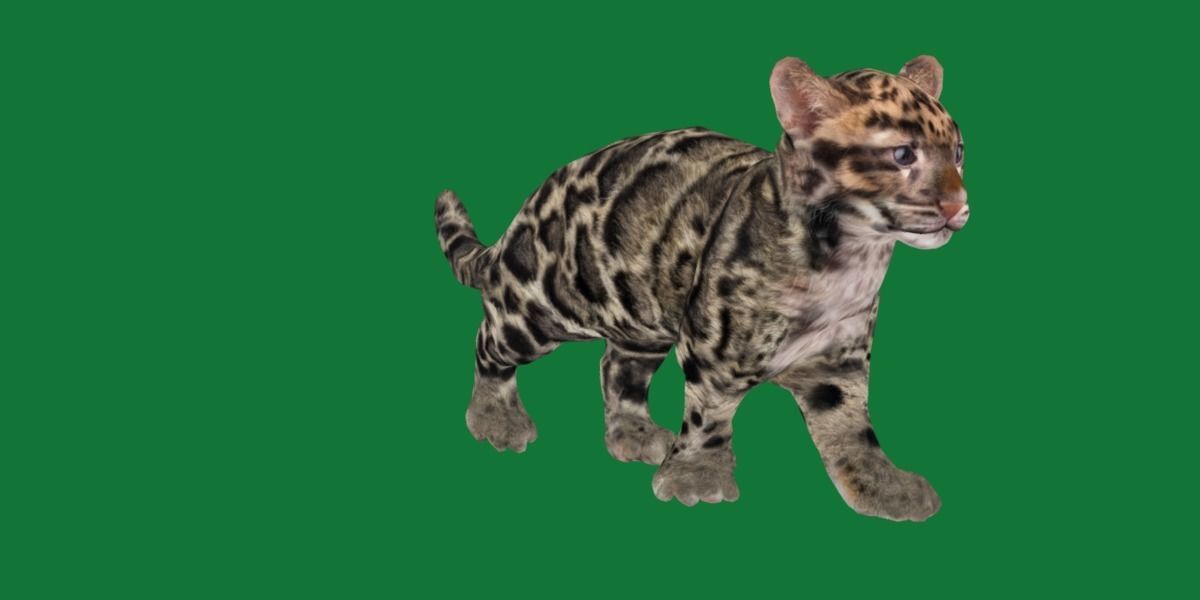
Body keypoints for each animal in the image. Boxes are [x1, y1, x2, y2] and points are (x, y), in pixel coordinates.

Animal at [433, 55, 968, 521]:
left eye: (960, 153)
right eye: (902, 154)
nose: (958, 206)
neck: (850, 261)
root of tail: (525, 212)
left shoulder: (837, 363)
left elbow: (852, 428)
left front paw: (881, 484)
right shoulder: (715, 353)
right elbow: (710, 415)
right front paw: (697, 477)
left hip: (639, 317)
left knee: (617, 369)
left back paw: (634, 432)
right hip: (540, 306)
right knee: (490, 343)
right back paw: (495, 419)